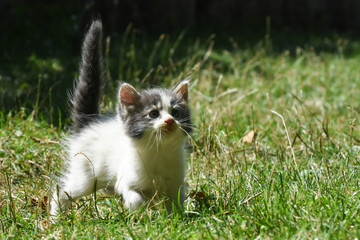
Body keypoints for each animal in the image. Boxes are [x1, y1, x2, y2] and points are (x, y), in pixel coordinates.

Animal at [50, 19, 194, 218]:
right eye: (153, 114)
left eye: (176, 113)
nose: (169, 121)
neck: (159, 151)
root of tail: (90, 121)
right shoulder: (127, 180)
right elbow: (135, 197)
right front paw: (139, 212)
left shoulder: (176, 186)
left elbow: (174, 205)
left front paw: (175, 219)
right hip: (85, 175)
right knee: (63, 192)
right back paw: (55, 217)